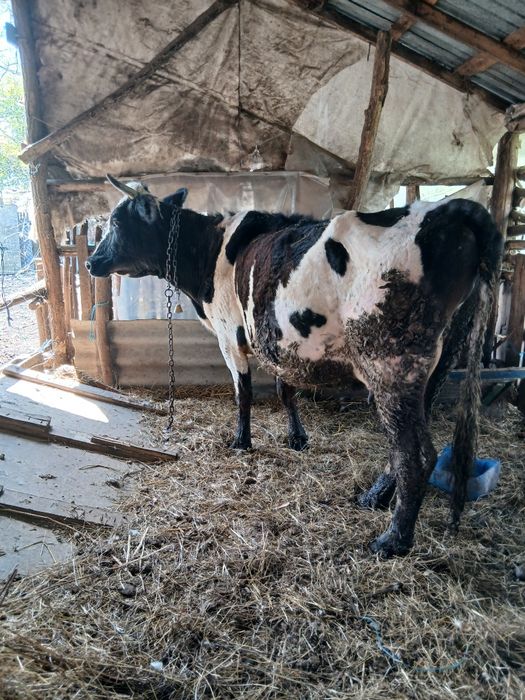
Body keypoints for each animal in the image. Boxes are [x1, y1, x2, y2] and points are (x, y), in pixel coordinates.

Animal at [86, 176, 503, 558]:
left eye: (117, 223)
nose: (92, 261)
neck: (210, 252)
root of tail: (452, 210)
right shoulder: (275, 338)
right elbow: (285, 389)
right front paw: (297, 438)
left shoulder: (229, 334)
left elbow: (243, 392)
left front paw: (241, 441)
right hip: (440, 361)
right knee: (407, 446)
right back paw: (376, 497)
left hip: (391, 361)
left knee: (415, 453)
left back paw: (393, 539)